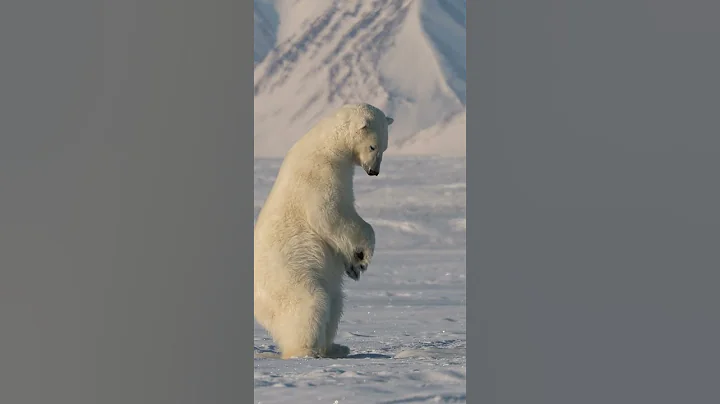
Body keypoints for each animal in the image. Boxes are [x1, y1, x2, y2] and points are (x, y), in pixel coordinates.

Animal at [254, 103, 394, 359]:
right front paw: (362, 256)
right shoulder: (318, 175)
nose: (374, 171)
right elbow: (330, 214)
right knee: (309, 303)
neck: (325, 146)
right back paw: (307, 350)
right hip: (290, 276)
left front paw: (354, 266)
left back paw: (336, 347)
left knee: (336, 304)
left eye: (385, 147)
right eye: (373, 146)